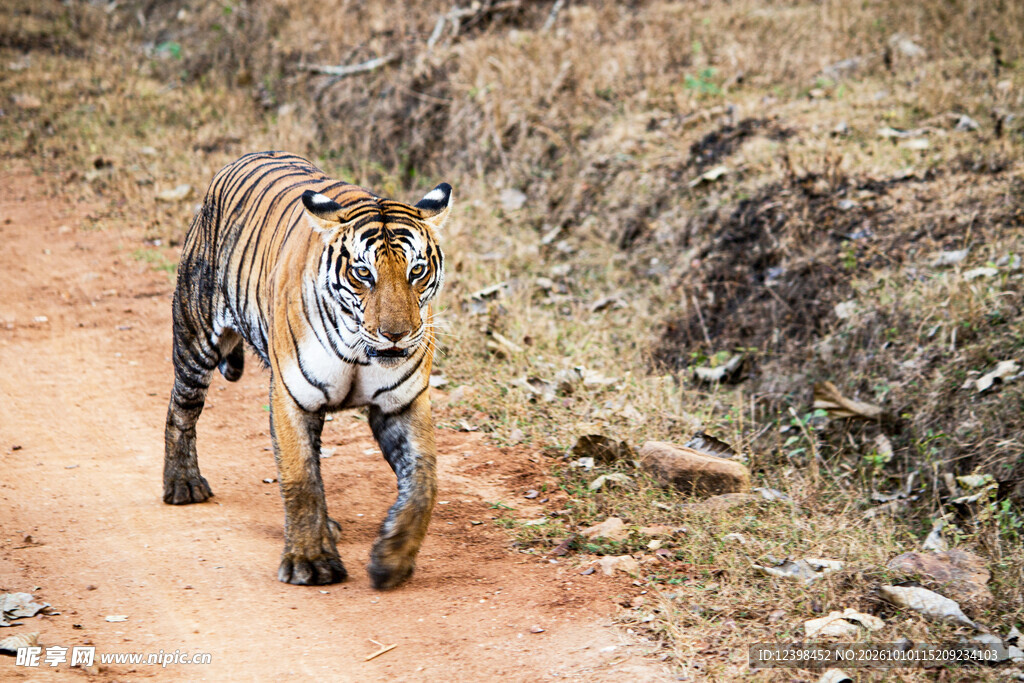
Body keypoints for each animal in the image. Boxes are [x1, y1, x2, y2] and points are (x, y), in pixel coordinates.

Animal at [163, 151, 451, 589]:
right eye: (363, 273)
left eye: (416, 271)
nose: (396, 334)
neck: (360, 351)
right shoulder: (291, 398)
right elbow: (300, 479)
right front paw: (311, 562)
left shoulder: (403, 404)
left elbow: (423, 482)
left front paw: (392, 560)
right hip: (195, 338)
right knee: (181, 410)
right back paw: (182, 484)